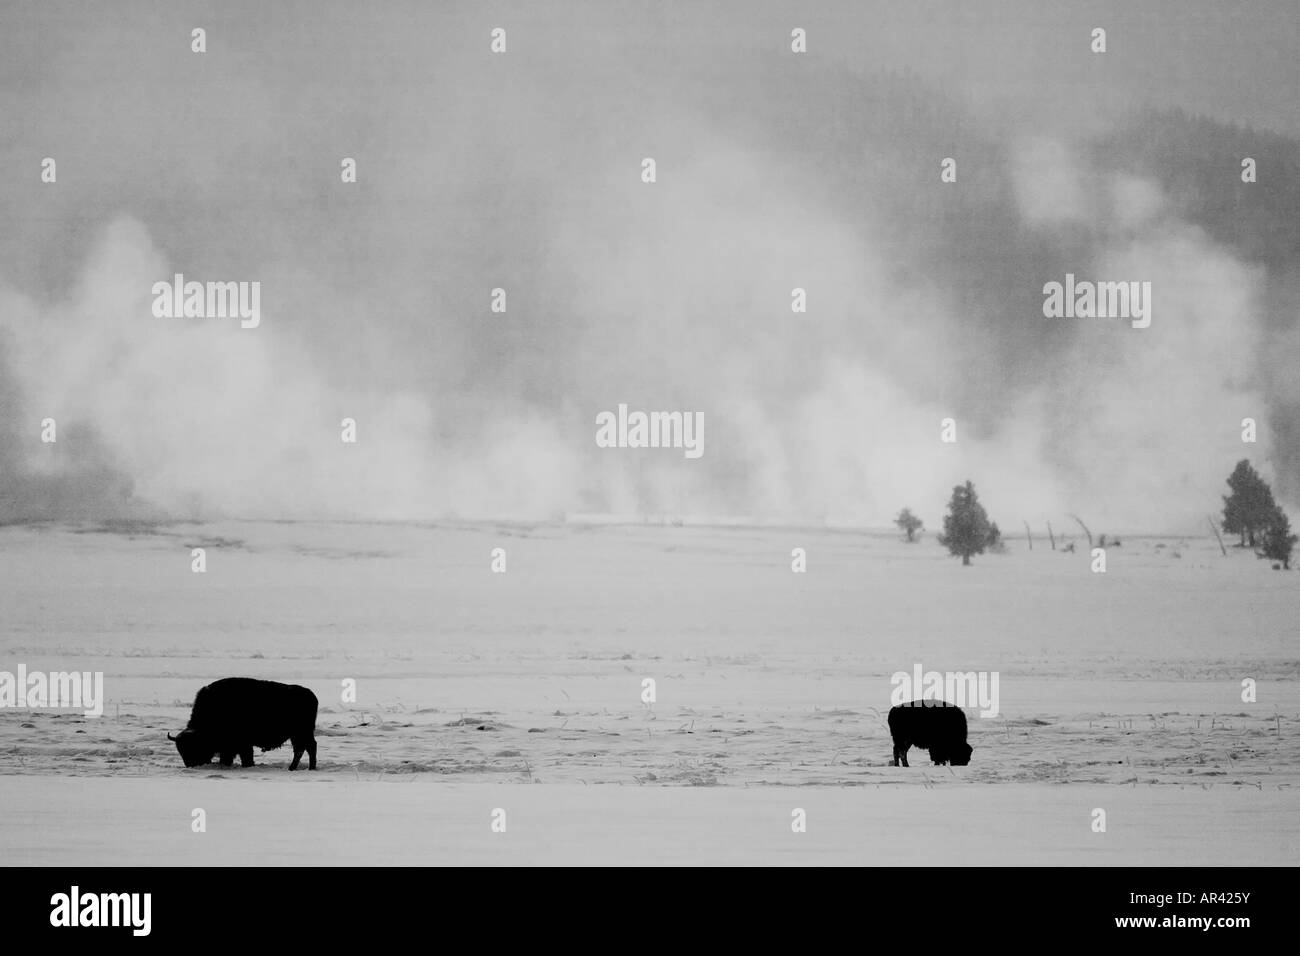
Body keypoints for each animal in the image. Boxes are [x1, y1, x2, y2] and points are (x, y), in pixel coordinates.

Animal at [169, 681, 318, 770]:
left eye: (194, 747)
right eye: (181, 750)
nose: (191, 765)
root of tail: (311, 695)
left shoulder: (242, 744)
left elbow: (245, 757)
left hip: (302, 733)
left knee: (308, 748)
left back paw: (305, 768)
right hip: (297, 735)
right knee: (301, 749)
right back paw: (294, 768)